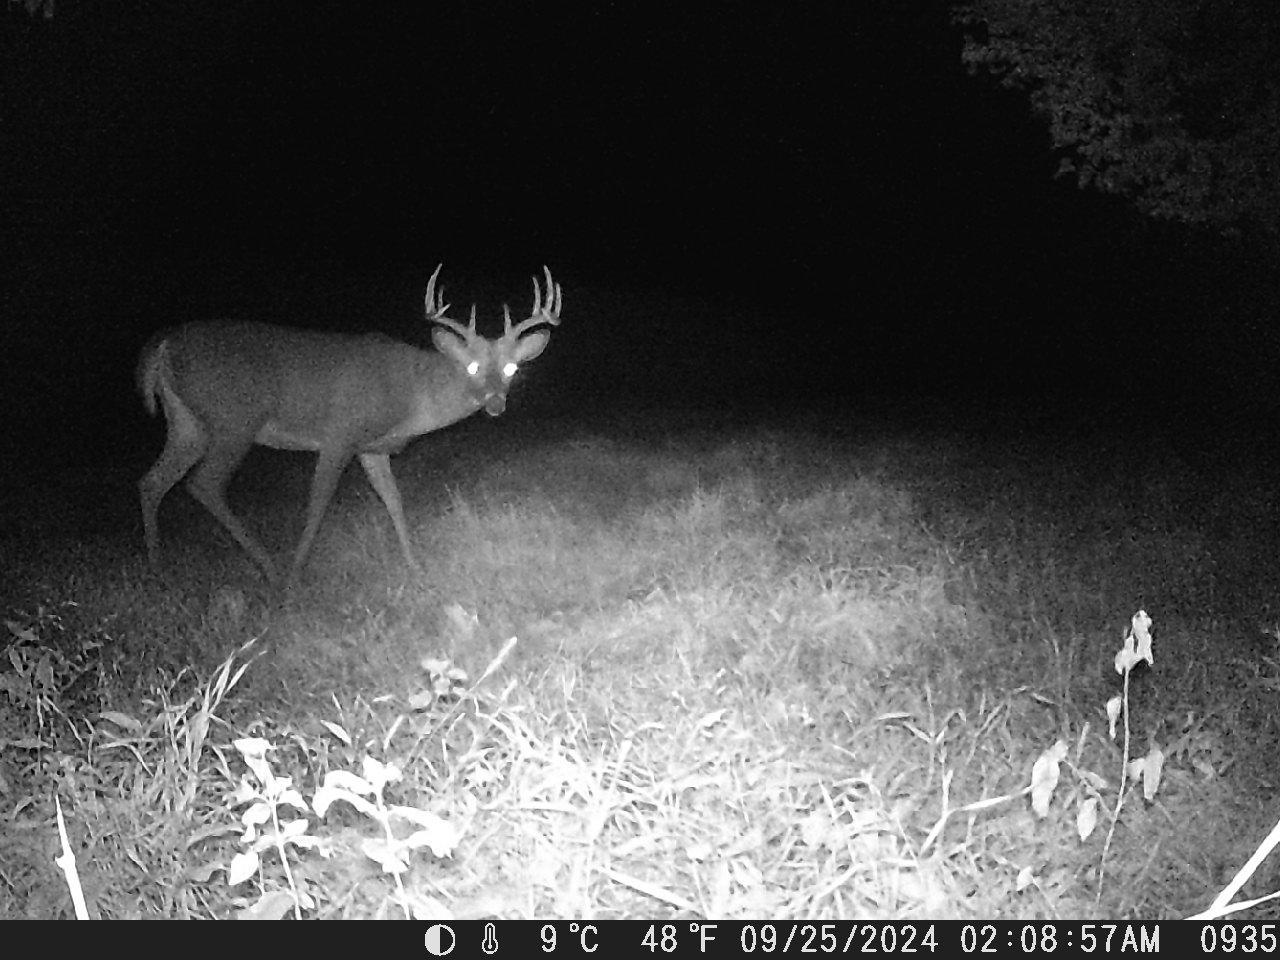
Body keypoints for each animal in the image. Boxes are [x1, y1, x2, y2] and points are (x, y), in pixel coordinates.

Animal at [136, 265, 561, 584]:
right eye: (471, 366)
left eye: (511, 368)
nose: (495, 404)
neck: (411, 395)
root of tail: (162, 344)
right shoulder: (340, 433)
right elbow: (318, 502)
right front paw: (297, 573)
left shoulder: (371, 448)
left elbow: (394, 499)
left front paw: (413, 564)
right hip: (233, 419)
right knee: (203, 483)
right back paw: (271, 570)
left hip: (186, 422)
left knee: (153, 481)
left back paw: (158, 568)